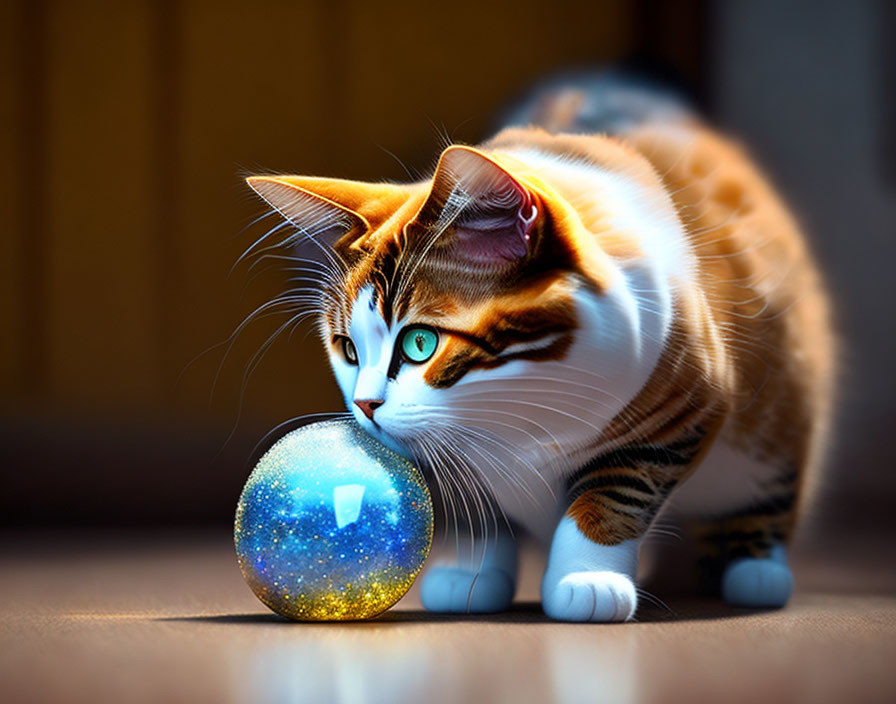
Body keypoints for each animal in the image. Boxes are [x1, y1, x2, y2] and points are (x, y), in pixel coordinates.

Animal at [243, 73, 832, 620]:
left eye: (420, 342)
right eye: (347, 348)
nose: (365, 405)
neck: (518, 408)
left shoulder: (683, 401)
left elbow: (613, 492)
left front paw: (588, 579)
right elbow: (473, 505)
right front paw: (469, 575)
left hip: (773, 420)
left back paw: (756, 569)